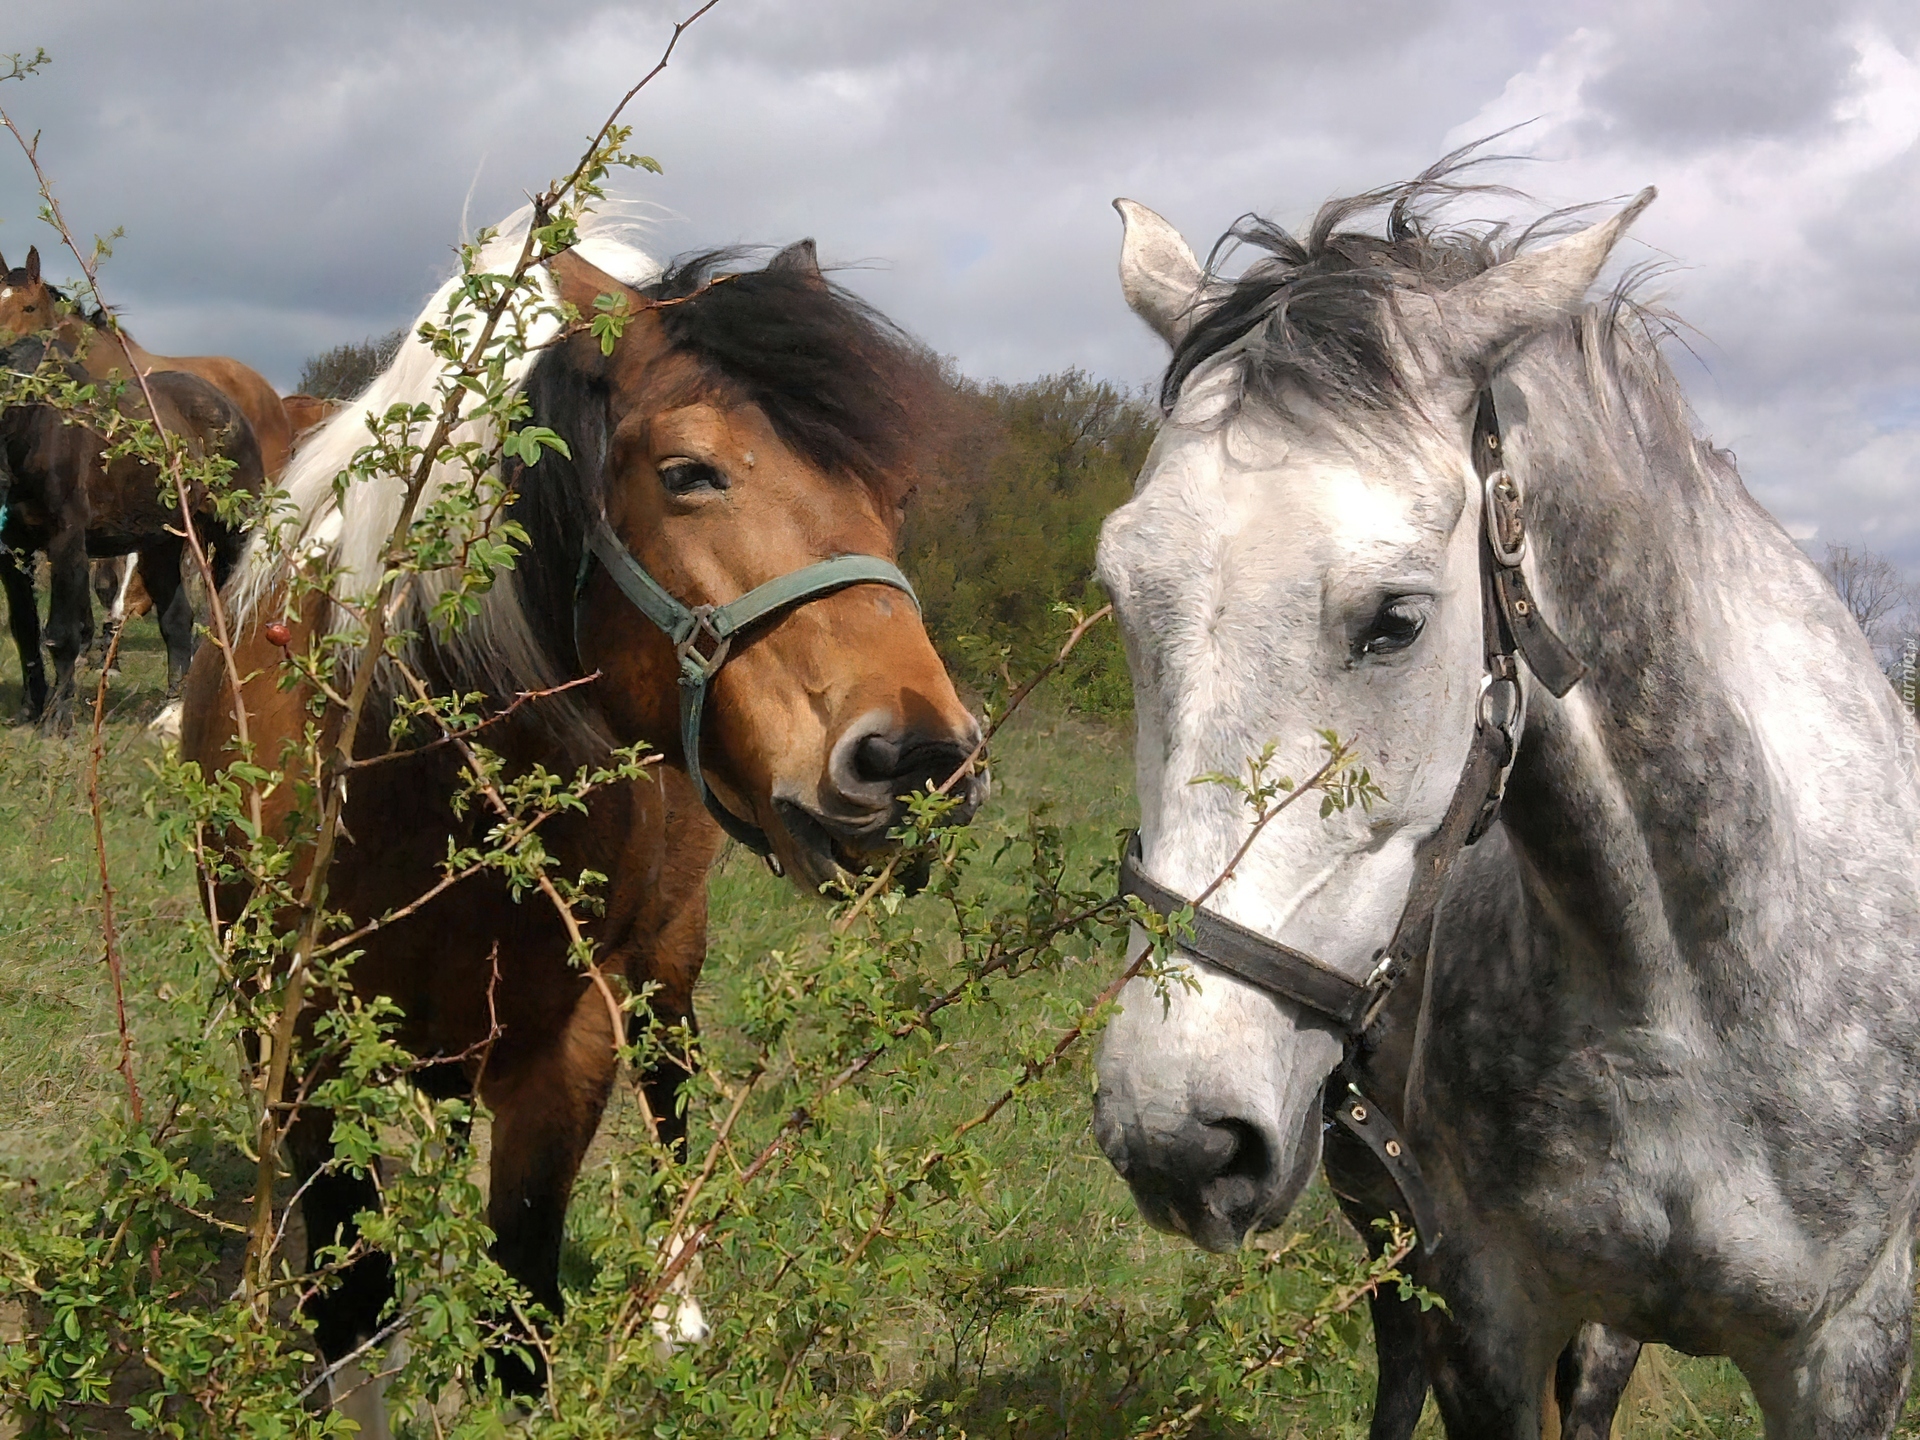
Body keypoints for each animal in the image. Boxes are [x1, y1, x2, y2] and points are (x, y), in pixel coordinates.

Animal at [1090, 160, 1920, 1440]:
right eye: (1123, 596)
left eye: (1394, 621)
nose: (1174, 1139)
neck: (1691, 991)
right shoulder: (1480, 1307)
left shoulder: (1851, 1351)